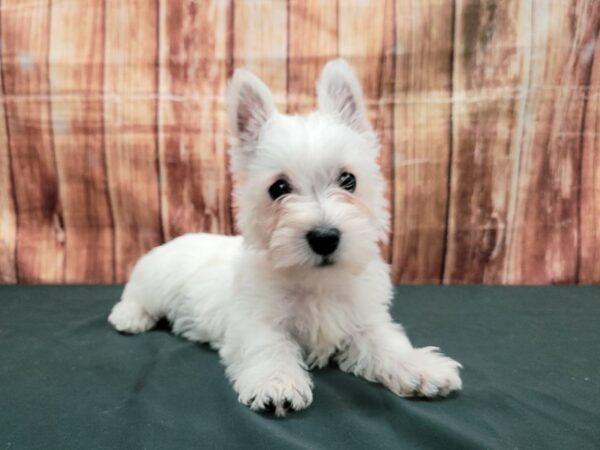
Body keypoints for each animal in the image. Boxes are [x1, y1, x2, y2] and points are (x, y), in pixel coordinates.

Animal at [109, 59, 464, 414]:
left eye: (348, 180)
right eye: (278, 188)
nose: (325, 237)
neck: (315, 281)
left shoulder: (364, 319)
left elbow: (386, 341)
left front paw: (420, 368)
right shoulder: (256, 322)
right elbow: (271, 346)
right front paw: (276, 383)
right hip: (153, 282)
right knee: (136, 296)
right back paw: (129, 317)